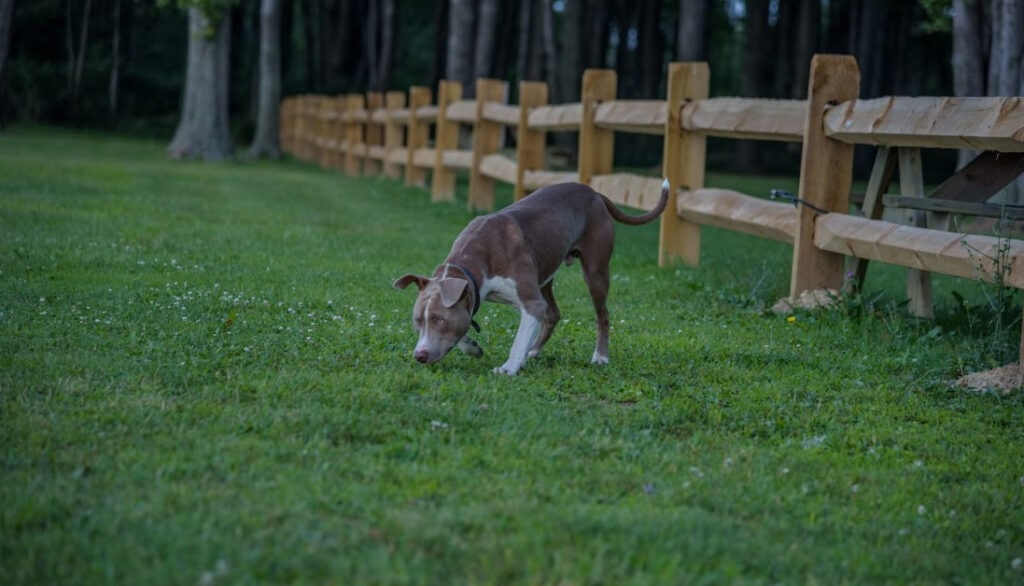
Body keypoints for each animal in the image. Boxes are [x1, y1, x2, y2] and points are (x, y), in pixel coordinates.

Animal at [393, 178, 671, 374]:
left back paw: (600, 357)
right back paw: (533, 352)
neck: (475, 262)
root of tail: (594, 193)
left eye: (439, 320)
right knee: (553, 314)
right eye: (417, 321)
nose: (419, 355)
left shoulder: (530, 301)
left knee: (602, 315)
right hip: (545, 275)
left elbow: (518, 339)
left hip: (595, 271)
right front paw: (472, 347)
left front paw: (509, 367)